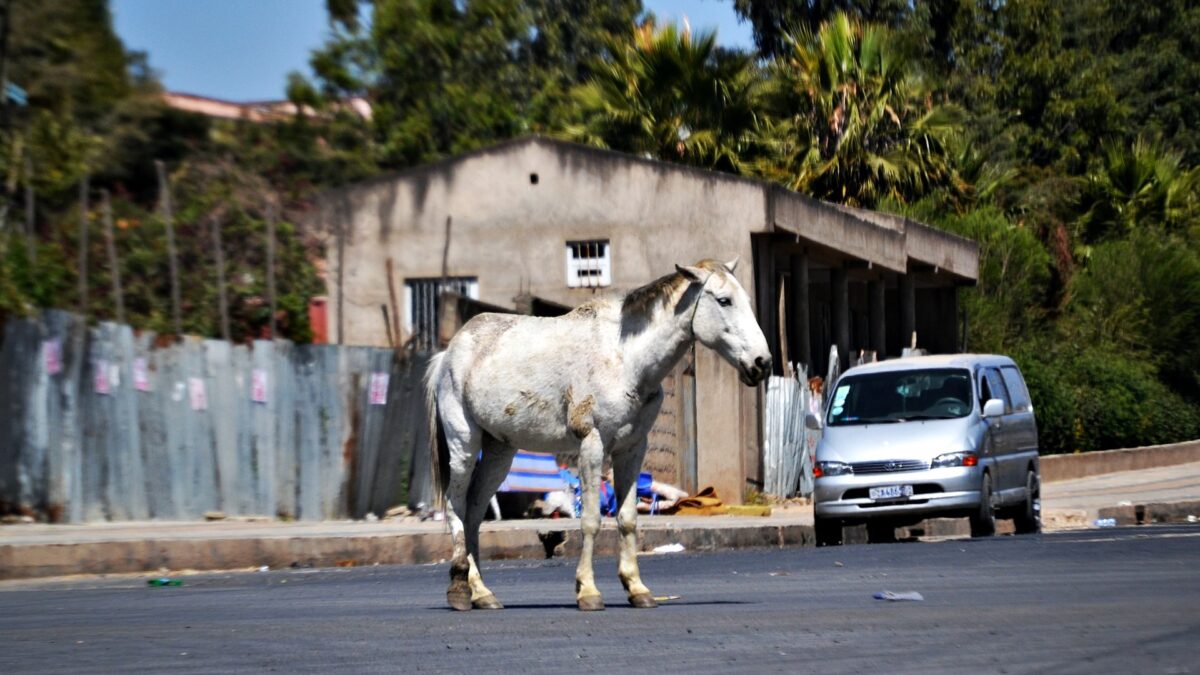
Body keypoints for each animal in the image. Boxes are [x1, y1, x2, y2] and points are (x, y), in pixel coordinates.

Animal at [424, 258, 771, 611]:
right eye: (724, 301)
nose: (762, 363)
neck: (625, 358)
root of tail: (448, 353)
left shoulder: (632, 448)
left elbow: (627, 518)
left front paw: (636, 588)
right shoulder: (592, 444)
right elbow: (590, 519)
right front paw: (588, 591)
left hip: (499, 452)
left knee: (474, 511)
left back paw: (482, 593)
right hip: (464, 445)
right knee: (456, 505)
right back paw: (459, 589)